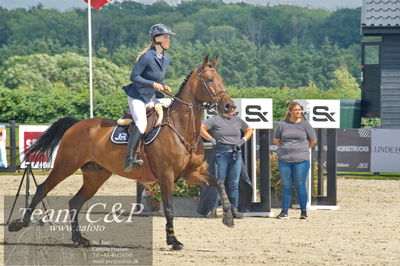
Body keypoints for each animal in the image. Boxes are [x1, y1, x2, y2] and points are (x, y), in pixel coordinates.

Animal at [7, 55, 234, 250]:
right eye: (210, 80)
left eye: (221, 79)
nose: (229, 107)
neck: (181, 128)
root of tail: (78, 124)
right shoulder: (166, 176)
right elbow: (169, 208)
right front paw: (173, 240)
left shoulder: (191, 174)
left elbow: (219, 183)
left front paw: (228, 217)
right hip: (66, 165)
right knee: (42, 189)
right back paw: (19, 224)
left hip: (95, 175)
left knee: (75, 202)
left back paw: (79, 239)